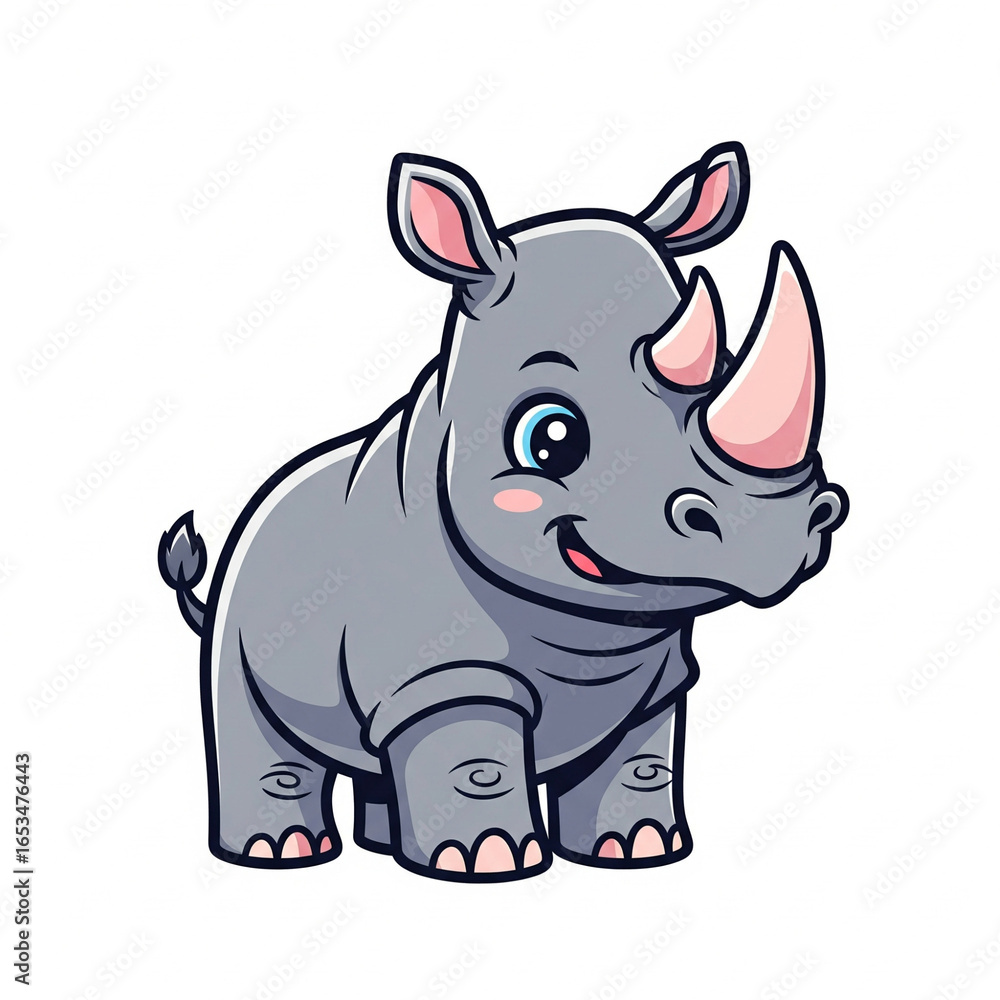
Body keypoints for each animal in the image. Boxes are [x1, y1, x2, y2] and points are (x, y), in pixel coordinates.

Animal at [159, 141, 848, 882]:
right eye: (551, 439)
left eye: (724, 367)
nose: (775, 530)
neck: (588, 632)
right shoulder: (439, 671)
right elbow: (473, 762)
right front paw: (484, 861)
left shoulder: (658, 678)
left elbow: (640, 762)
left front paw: (638, 848)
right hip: (246, 595)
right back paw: (280, 853)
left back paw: (379, 842)